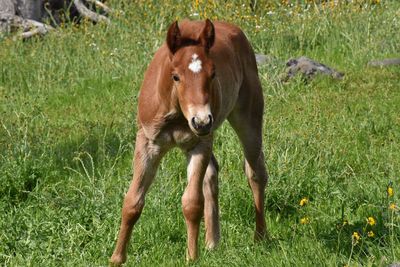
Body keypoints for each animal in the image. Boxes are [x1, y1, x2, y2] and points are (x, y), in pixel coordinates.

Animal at [109, 18, 268, 266]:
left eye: (213, 74)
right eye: (175, 76)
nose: (201, 121)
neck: (176, 113)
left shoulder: (198, 144)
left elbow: (192, 203)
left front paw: (191, 257)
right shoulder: (147, 143)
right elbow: (132, 201)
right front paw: (117, 258)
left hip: (247, 118)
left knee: (256, 172)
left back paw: (260, 236)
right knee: (212, 172)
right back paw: (212, 242)